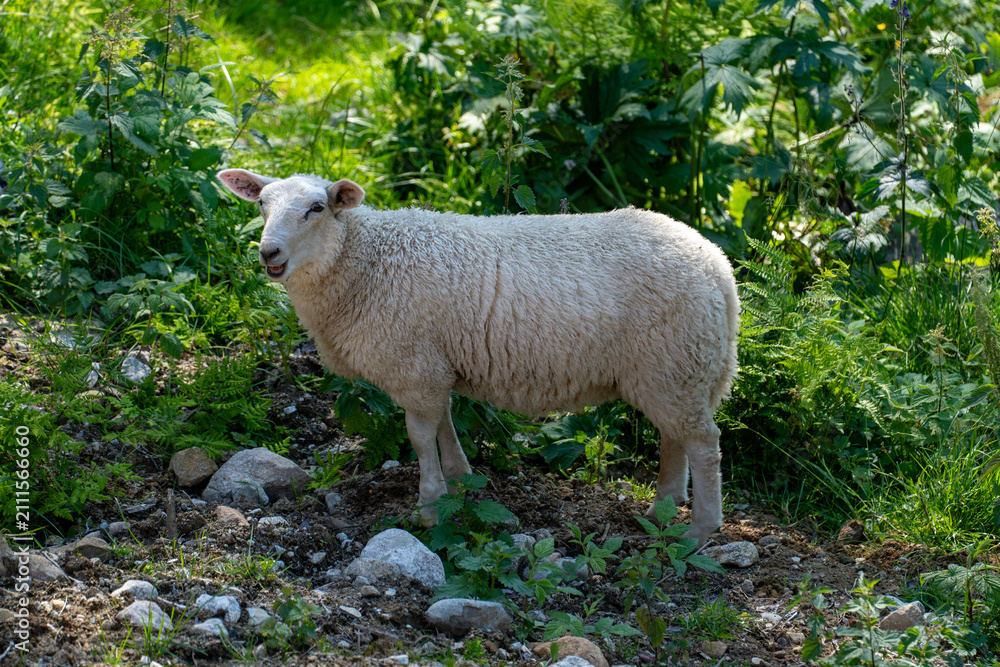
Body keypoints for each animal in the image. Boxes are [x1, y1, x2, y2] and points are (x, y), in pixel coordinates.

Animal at [217, 168, 740, 543]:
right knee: (675, 437)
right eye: (261, 204)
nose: (268, 253)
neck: (363, 261)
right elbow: (445, 423)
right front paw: (460, 480)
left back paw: (698, 531)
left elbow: (419, 435)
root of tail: (717, 266)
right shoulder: (433, 366)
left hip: (674, 360)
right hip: (674, 369)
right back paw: (664, 510)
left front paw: (430, 506)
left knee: (703, 444)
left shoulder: (414, 365)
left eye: (317, 208)